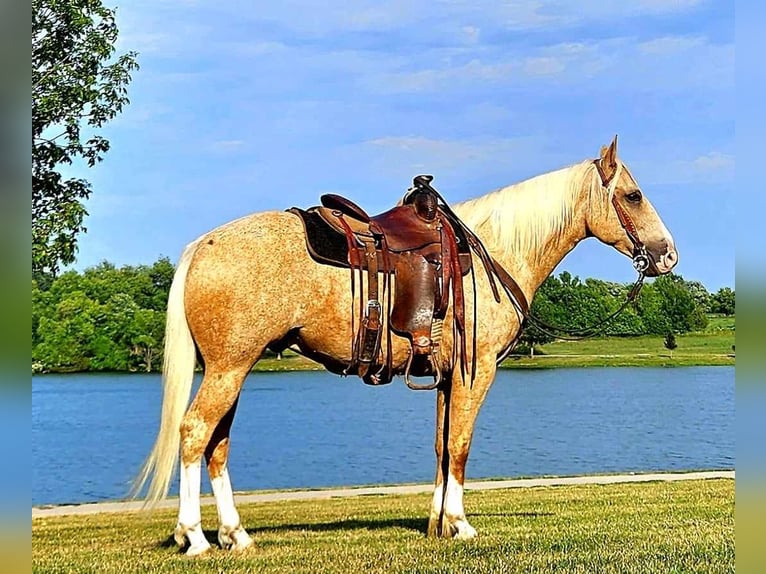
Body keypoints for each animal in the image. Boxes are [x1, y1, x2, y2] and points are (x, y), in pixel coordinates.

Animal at [135, 137, 680, 556]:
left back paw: (235, 534)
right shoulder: (476, 371)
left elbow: (441, 447)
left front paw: (437, 524)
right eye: (633, 196)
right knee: (194, 434)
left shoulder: (445, 377)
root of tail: (202, 246)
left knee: (217, 444)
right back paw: (194, 537)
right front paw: (459, 524)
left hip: (232, 368)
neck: (492, 254)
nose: (668, 254)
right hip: (229, 367)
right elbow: (460, 446)